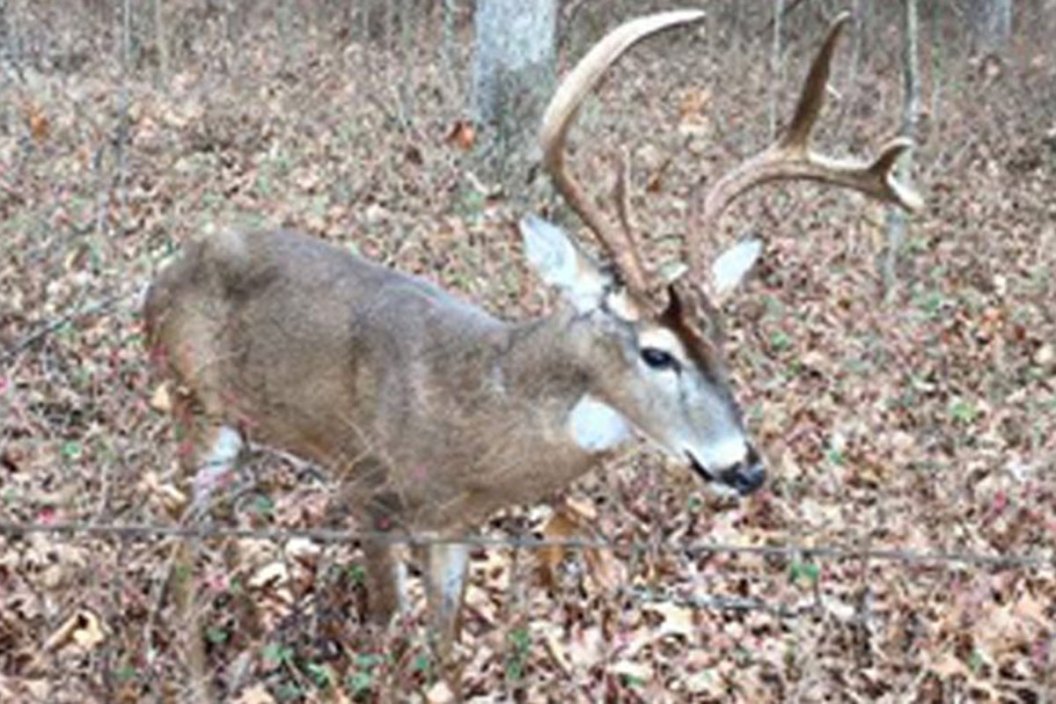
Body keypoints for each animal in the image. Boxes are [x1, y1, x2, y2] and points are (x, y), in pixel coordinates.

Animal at [145, 8, 920, 694]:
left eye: (724, 342)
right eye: (656, 354)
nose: (746, 467)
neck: (470, 410)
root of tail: (157, 282)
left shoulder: (455, 526)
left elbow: (445, 651)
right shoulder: (367, 486)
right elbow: (389, 633)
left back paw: (247, 635)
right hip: (193, 405)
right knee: (181, 542)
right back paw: (195, 674)